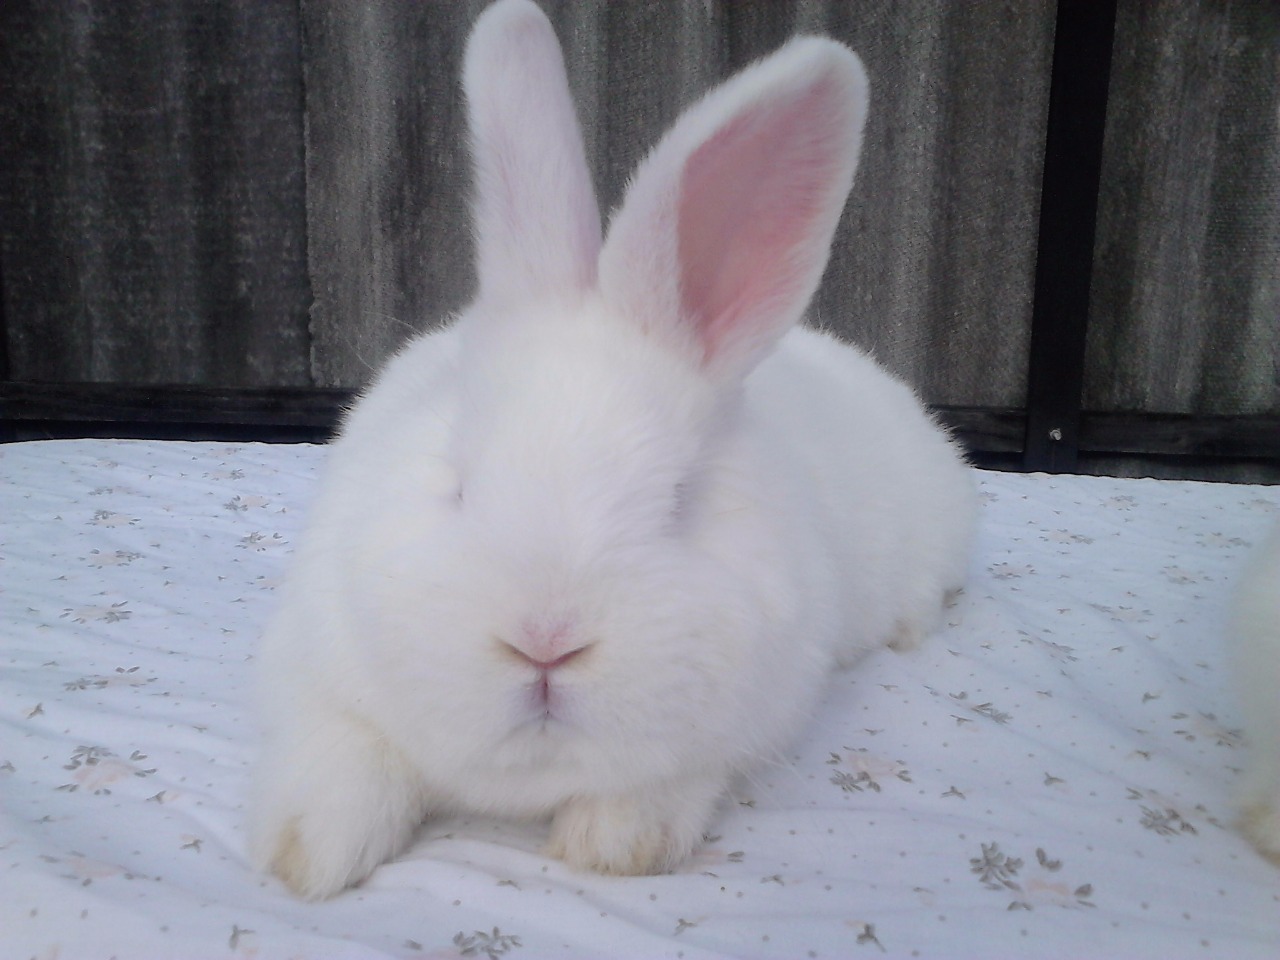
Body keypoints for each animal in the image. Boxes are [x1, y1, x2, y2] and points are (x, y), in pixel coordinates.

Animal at [248, 0, 978, 900]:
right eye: (456, 484)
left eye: (678, 501)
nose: (545, 642)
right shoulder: (313, 663)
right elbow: (341, 753)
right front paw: (310, 854)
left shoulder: (747, 719)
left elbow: (660, 788)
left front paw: (610, 841)